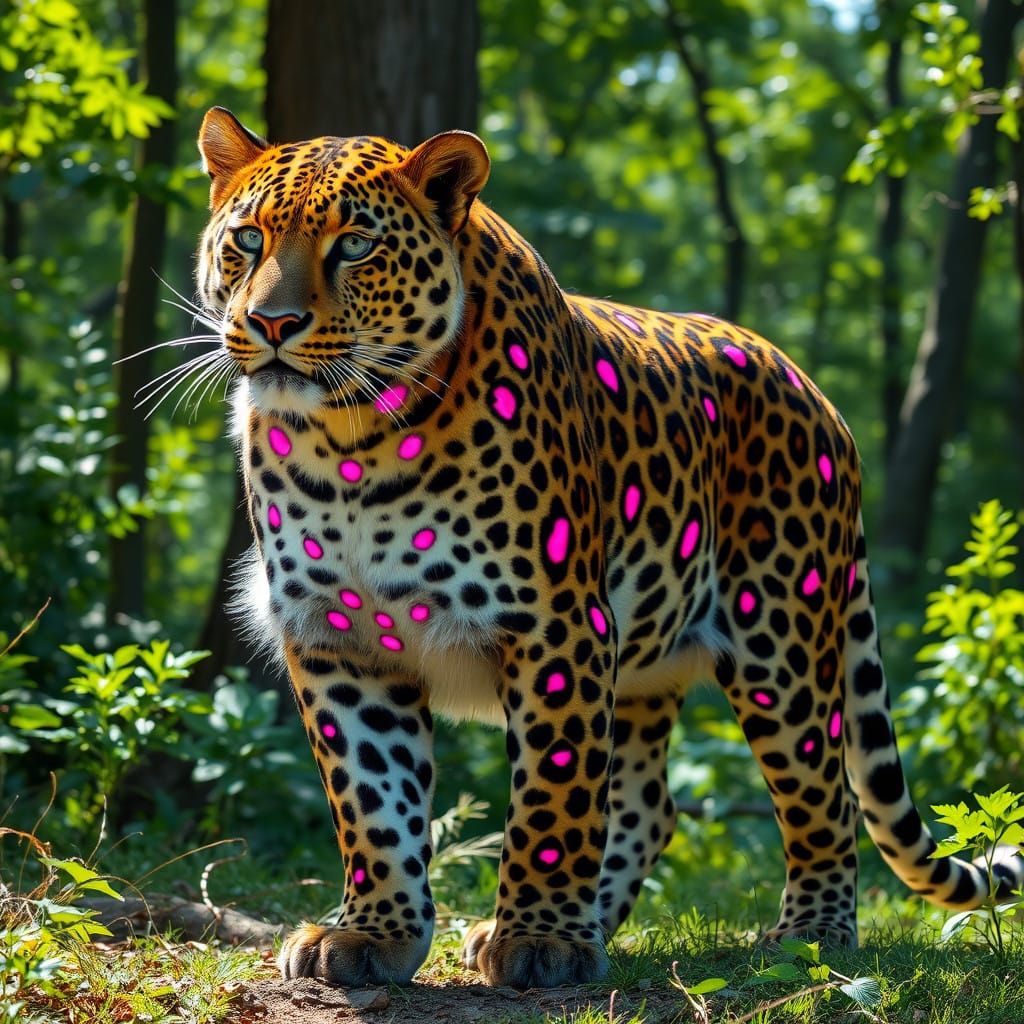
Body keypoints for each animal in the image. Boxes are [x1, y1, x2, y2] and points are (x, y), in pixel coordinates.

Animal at [193, 106, 1023, 990]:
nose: (273, 324)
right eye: (246, 239)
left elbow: (553, 798)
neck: (349, 442)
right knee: (650, 805)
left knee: (821, 794)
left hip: (782, 643)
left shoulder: (557, 626)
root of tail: (814, 392)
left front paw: (542, 940)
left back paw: (810, 935)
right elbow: (373, 804)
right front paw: (372, 934)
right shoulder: (338, 639)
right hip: (647, 667)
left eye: (353, 245)